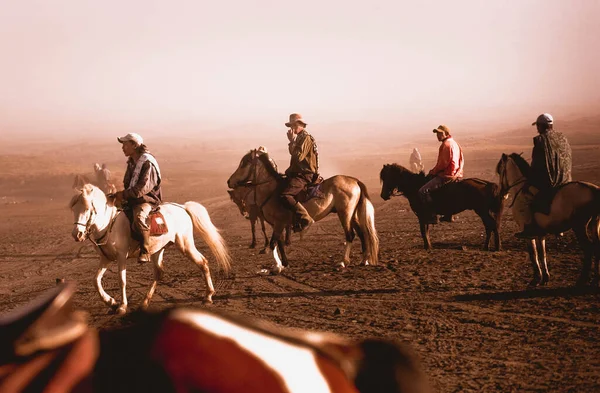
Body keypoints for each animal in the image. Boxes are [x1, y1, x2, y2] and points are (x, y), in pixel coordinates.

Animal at [69, 182, 231, 314]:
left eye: (87, 209)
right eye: (74, 210)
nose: (77, 234)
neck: (109, 225)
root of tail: (183, 208)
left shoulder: (121, 257)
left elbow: (122, 280)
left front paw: (122, 306)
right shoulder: (106, 259)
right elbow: (96, 281)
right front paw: (111, 302)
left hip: (185, 245)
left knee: (202, 262)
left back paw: (208, 296)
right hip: (158, 249)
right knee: (158, 273)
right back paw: (144, 302)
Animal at [227, 149, 378, 274]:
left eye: (244, 164)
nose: (229, 181)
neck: (270, 191)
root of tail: (355, 180)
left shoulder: (279, 223)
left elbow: (273, 243)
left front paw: (277, 267)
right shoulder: (277, 224)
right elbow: (280, 243)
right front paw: (284, 264)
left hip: (345, 214)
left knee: (350, 235)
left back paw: (343, 262)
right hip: (352, 215)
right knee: (362, 233)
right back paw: (364, 260)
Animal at [496, 152, 600, 284]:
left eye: (500, 171)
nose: (501, 193)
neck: (520, 189)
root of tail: (594, 190)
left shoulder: (528, 234)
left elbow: (533, 254)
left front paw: (536, 278)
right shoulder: (540, 233)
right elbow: (542, 253)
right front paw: (545, 277)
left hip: (579, 227)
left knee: (588, 249)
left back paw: (582, 280)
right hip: (594, 224)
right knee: (597, 247)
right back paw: (596, 279)